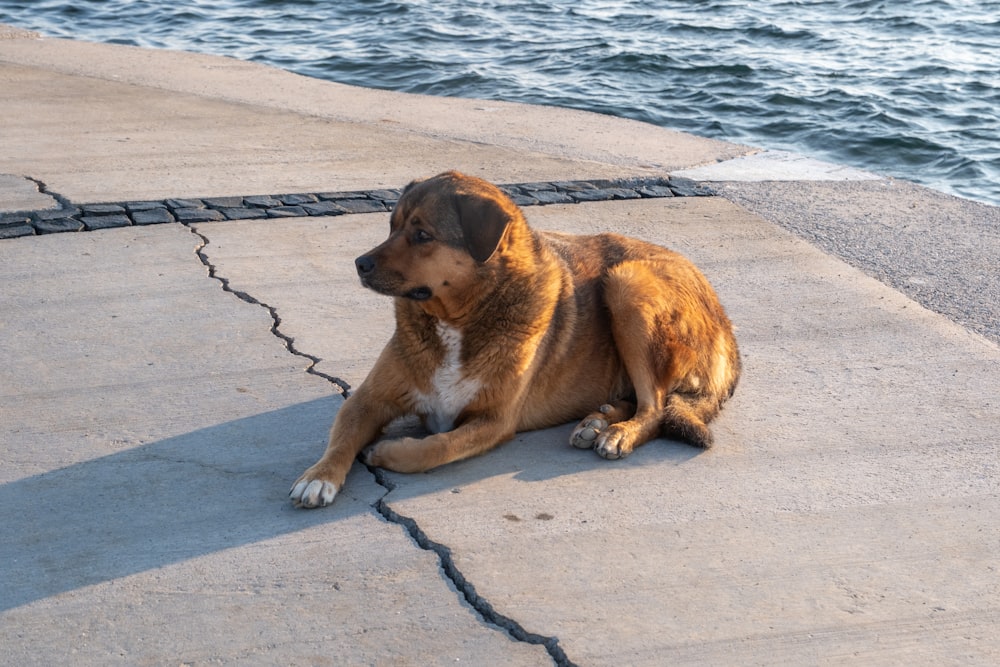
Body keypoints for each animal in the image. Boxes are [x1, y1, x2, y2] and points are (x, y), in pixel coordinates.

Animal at [286, 171, 740, 506]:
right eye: (392, 226)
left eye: (422, 235)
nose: (359, 264)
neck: (458, 318)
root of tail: (726, 324)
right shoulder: (368, 400)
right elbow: (342, 435)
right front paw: (319, 476)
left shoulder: (494, 420)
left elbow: (438, 447)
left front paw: (391, 454)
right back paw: (597, 420)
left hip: (628, 285)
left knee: (656, 407)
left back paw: (618, 433)